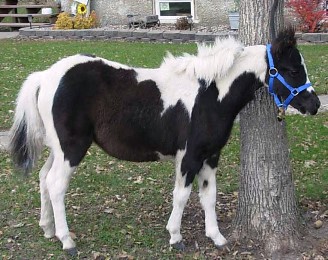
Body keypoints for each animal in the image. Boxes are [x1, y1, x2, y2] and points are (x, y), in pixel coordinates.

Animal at [9, 29, 320, 254]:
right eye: (293, 70)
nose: (315, 105)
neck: (209, 95)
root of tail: (45, 76)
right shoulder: (189, 157)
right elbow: (181, 195)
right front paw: (176, 237)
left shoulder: (210, 156)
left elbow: (209, 196)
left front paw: (217, 237)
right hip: (72, 148)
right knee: (56, 185)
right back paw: (67, 240)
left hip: (58, 148)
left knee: (43, 178)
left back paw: (48, 228)